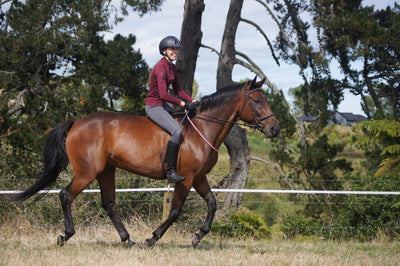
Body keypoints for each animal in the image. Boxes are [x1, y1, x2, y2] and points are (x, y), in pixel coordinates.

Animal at [14, 76, 280, 248]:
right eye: (257, 101)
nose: (274, 128)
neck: (203, 127)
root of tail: (76, 123)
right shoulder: (186, 179)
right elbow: (175, 211)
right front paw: (153, 238)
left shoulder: (199, 177)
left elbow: (212, 204)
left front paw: (197, 236)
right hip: (86, 173)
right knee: (66, 195)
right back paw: (66, 236)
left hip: (106, 171)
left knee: (109, 204)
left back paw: (127, 239)